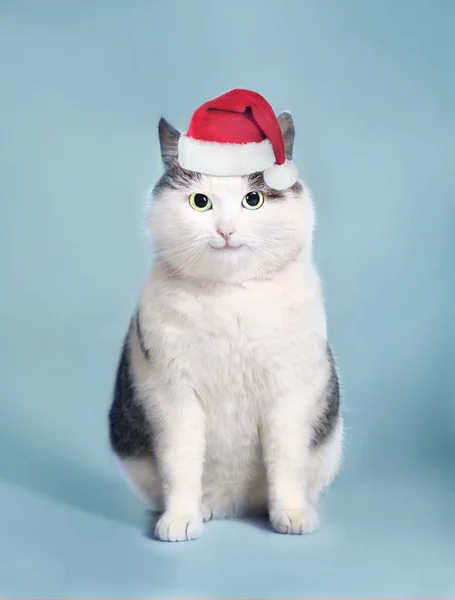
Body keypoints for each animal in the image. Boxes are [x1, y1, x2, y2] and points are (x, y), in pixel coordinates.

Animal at [109, 109, 342, 544]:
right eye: (200, 202)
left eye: (253, 200)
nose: (226, 230)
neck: (231, 299)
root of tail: (234, 504)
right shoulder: (174, 396)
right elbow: (181, 464)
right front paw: (180, 518)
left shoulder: (289, 393)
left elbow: (286, 462)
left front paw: (290, 514)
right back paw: (201, 509)